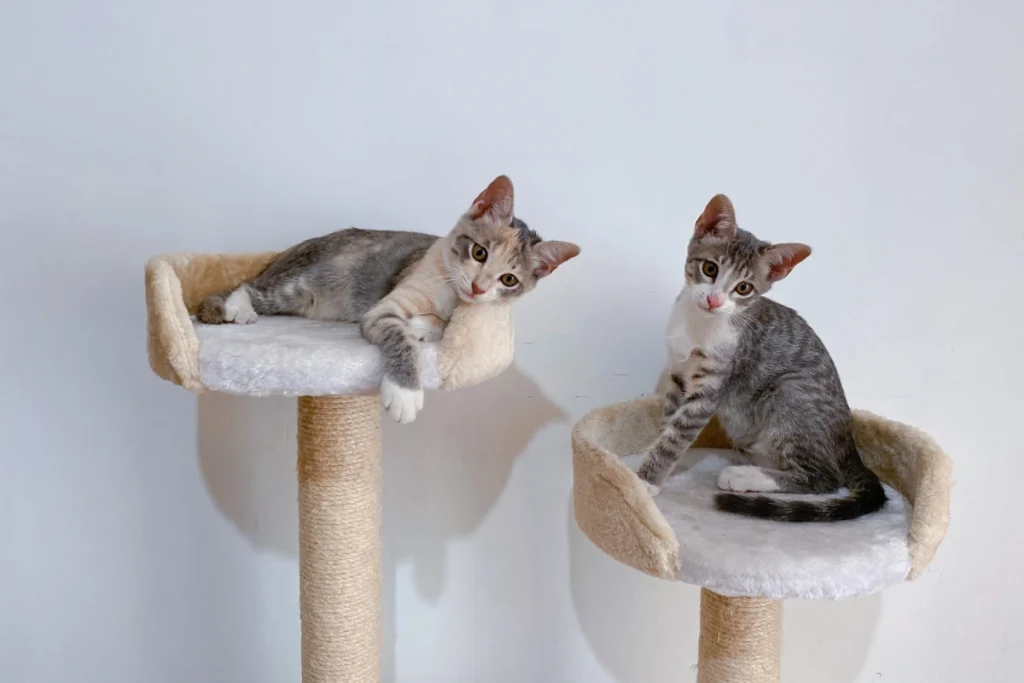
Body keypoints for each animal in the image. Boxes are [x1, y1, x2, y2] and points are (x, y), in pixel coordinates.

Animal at [195, 174, 581, 421]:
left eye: (509, 279)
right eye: (479, 252)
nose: (478, 288)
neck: (448, 293)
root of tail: (284, 254)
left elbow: (440, 325)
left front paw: (425, 327)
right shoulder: (384, 306)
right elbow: (398, 334)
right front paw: (405, 394)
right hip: (299, 284)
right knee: (247, 286)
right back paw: (238, 308)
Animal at [638, 193, 888, 524]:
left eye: (744, 288)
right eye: (710, 268)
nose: (714, 300)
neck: (698, 328)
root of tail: (849, 442)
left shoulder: (711, 388)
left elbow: (677, 435)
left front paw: (644, 481)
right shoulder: (679, 375)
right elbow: (668, 424)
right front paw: (659, 462)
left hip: (789, 391)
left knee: (824, 478)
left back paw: (744, 475)